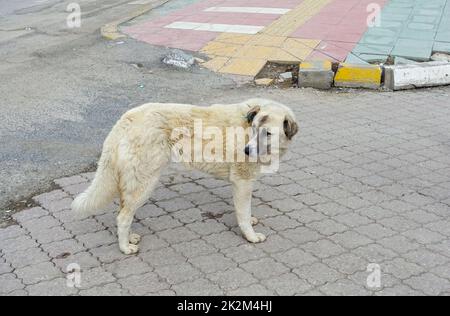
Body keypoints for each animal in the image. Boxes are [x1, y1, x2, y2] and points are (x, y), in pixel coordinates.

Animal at [72, 99, 298, 254]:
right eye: (254, 129)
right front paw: (250, 236)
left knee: (123, 210)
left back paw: (130, 238)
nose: (247, 150)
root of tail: (125, 119)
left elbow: (246, 211)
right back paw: (125, 247)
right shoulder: (242, 183)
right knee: (123, 217)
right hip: (145, 183)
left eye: (267, 133)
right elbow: (242, 214)